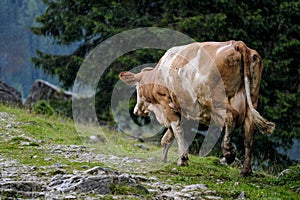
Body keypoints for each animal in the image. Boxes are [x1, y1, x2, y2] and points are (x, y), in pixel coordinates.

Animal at [119, 40, 274, 177]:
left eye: (137, 86)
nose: (136, 110)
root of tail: (238, 44)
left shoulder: (166, 104)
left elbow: (177, 131)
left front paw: (182, 159)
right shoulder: (183, 110)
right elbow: (168, 137)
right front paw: (165, 158)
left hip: (214, 99)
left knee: (231, 117)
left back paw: (229, 153)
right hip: (251, 102)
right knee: (249, 136)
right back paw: (246, 171)